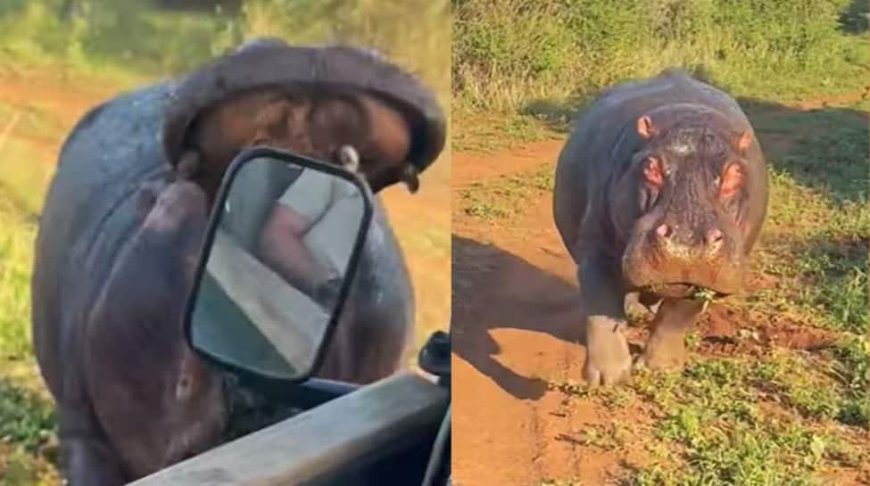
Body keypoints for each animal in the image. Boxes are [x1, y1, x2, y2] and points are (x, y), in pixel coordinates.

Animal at [556, 69, 768, 388]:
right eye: (650, 166)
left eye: (734, 172)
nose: (686, 243)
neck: (690, 122)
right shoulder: (596, 248)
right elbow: (602, 304)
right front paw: (609, 378)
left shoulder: (702, 284)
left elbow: (678, 315)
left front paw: (660, 369)